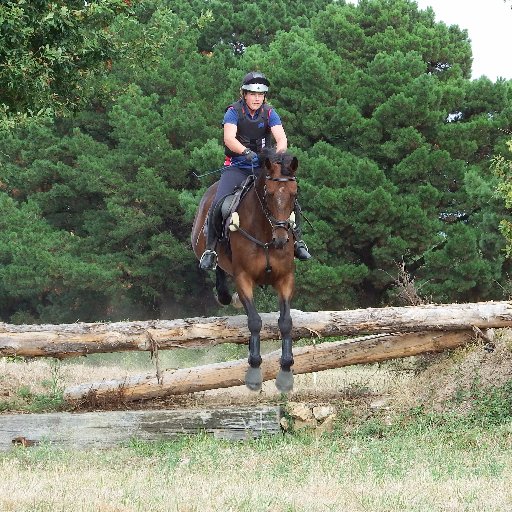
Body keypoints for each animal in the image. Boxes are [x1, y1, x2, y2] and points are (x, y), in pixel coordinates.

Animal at [190, 148, 298, 392]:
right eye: (268, 193)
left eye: (294, 194)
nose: (281, 239)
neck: (265, 233)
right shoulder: (243, 277)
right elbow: (255, 321)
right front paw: (254, 372)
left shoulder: (285, 278)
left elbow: (286, 322)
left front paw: (285, 372)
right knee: (218, 266)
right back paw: (225, 294)